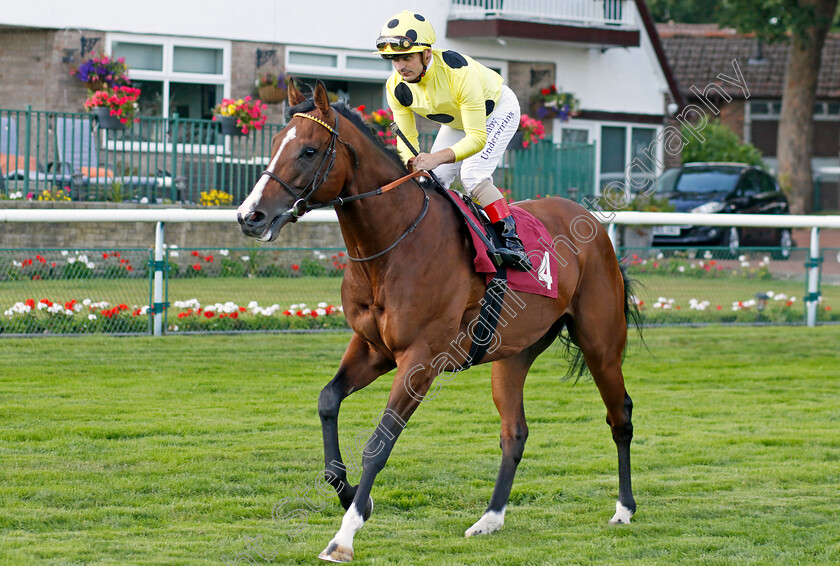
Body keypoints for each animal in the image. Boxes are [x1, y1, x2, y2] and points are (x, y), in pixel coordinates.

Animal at [235, 82, 636, 564]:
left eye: (308, 151)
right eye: (276, 143)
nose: (249, 216)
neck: (393, 244)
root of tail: (591, 222)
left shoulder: (421, 360)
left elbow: (378, 442)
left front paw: (345, 534)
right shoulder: (373, 349)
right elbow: (328, 400)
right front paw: (349, 492)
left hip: (601, 343)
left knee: (620, 416)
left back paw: (624, 510)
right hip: (513, 355)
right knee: (514, 433)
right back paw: (489, 519)